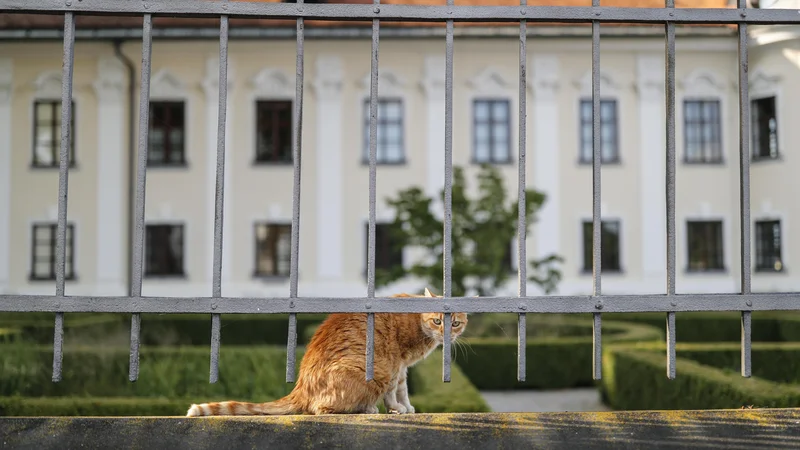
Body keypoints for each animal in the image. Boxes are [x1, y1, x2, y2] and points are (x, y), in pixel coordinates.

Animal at [184, 286, 466, 416]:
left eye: (455, 323)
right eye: (437, 321)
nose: (447, 333)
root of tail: (300, 388)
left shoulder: (403, 368)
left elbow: (403, 389)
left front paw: (406, 407)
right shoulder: (394, 365)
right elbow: (393, 391)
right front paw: (397, 408)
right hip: (371, 372)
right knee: (322, 409)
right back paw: (366, 409)